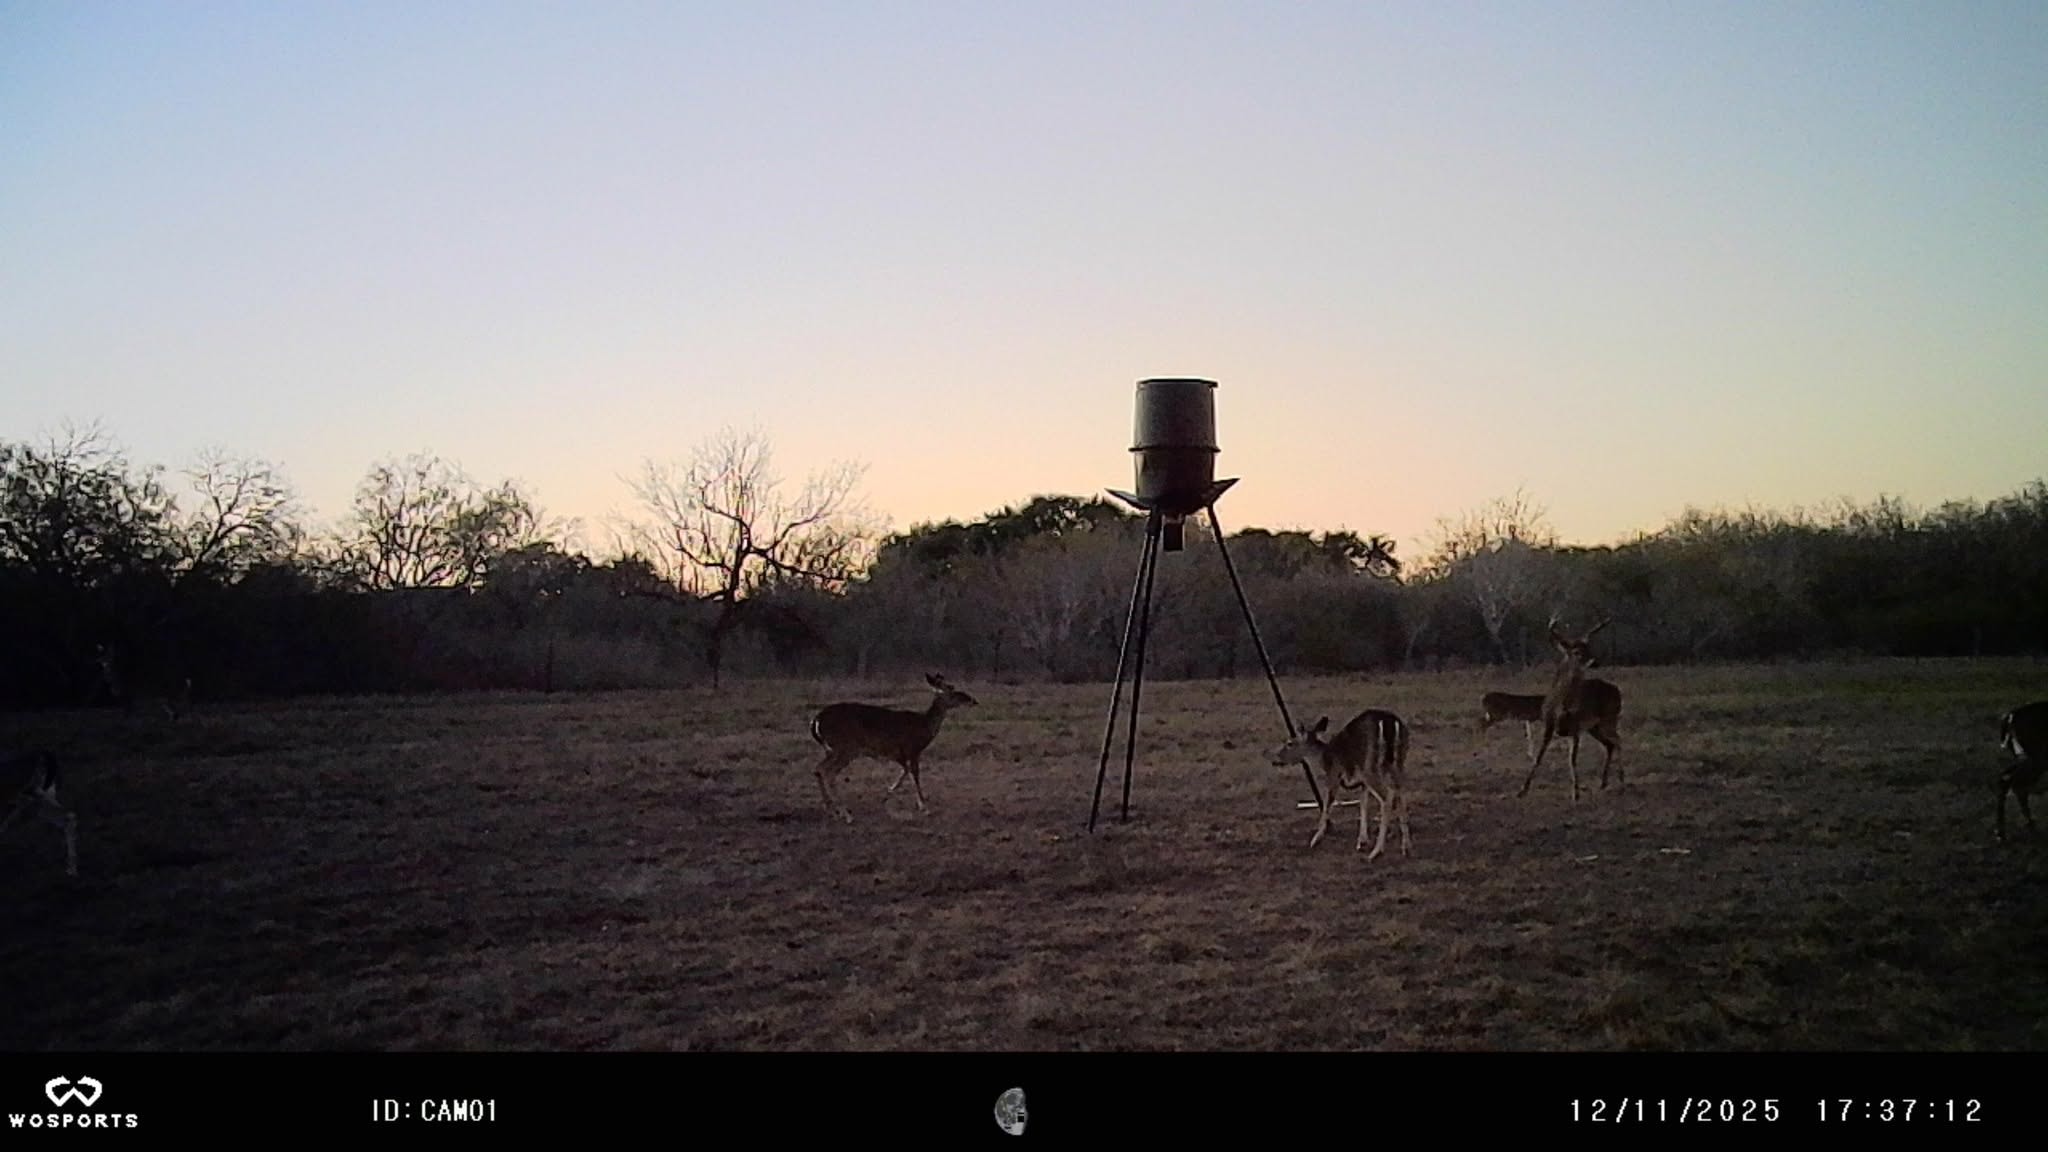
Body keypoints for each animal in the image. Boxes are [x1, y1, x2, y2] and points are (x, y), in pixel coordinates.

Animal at [809, 673, 979, 823]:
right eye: (951, 689)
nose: (973, 700)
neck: (924, 727)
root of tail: (816, 720)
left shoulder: (897, 753)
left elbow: (905, 771)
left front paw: (888, 791)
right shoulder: (913, 749)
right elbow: (914, 774)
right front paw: (924, 807)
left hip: (831, 749)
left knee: (818, 769)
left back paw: (831, 810)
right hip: (845, 747)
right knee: (827, 771)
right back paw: (846, 814)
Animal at [1270, 709, 1411, 859]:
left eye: (1289, 743)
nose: (1277, 758)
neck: (1324, 758)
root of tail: (1390, 724)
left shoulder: (1334, 774)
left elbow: (1327, 804)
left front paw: (1315, 839)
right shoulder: (1362, 782)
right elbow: (1363, 804)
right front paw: (1362, 840)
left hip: (1370, 766)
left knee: (1386, 799)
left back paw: (1376, 852)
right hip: (1398, 762)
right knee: (1400, 794)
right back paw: (1406, 847)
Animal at [1517, 616, 1624, 803]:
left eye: (1589, 647)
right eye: (1576, 652)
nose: (1595, 662)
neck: (1561, 706)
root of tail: (1616, 689)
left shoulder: (1575, 726)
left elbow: (1572, 759)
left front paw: (1576, 792)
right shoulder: (1549, 724)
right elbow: (1538, 757)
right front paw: (1523, 790)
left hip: (1609, 718)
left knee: (1618, 741)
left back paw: (1622, 780)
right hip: (1594, 727)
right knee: (1610, 744)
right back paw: (1603, 782)